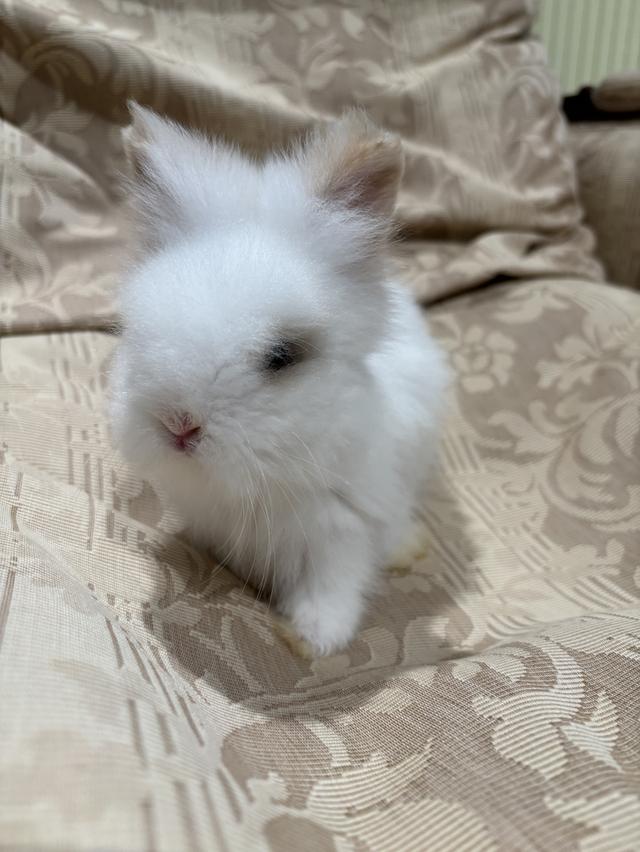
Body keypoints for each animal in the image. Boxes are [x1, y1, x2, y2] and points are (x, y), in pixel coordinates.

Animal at [109, 103, 448, 656]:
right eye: (133, 329)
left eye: (281, 355)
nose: (178, 426)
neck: (252, 489)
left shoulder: (342, 532)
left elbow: (333, 591)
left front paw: (312, 639)